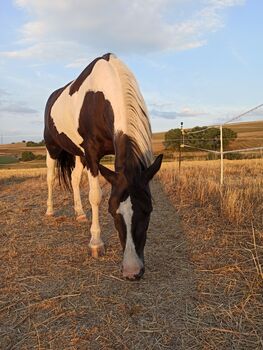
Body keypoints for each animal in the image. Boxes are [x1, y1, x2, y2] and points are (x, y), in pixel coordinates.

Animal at [43, 52, 163, 280]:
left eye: (148, 210)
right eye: (113, 212)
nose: (132, 271)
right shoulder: (92, 154)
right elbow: (95, 196)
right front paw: (96, 243)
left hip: (78, 154)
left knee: (74, 179)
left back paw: (80, 213)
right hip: (52, 148)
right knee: (50, 178)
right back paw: (50, 210)